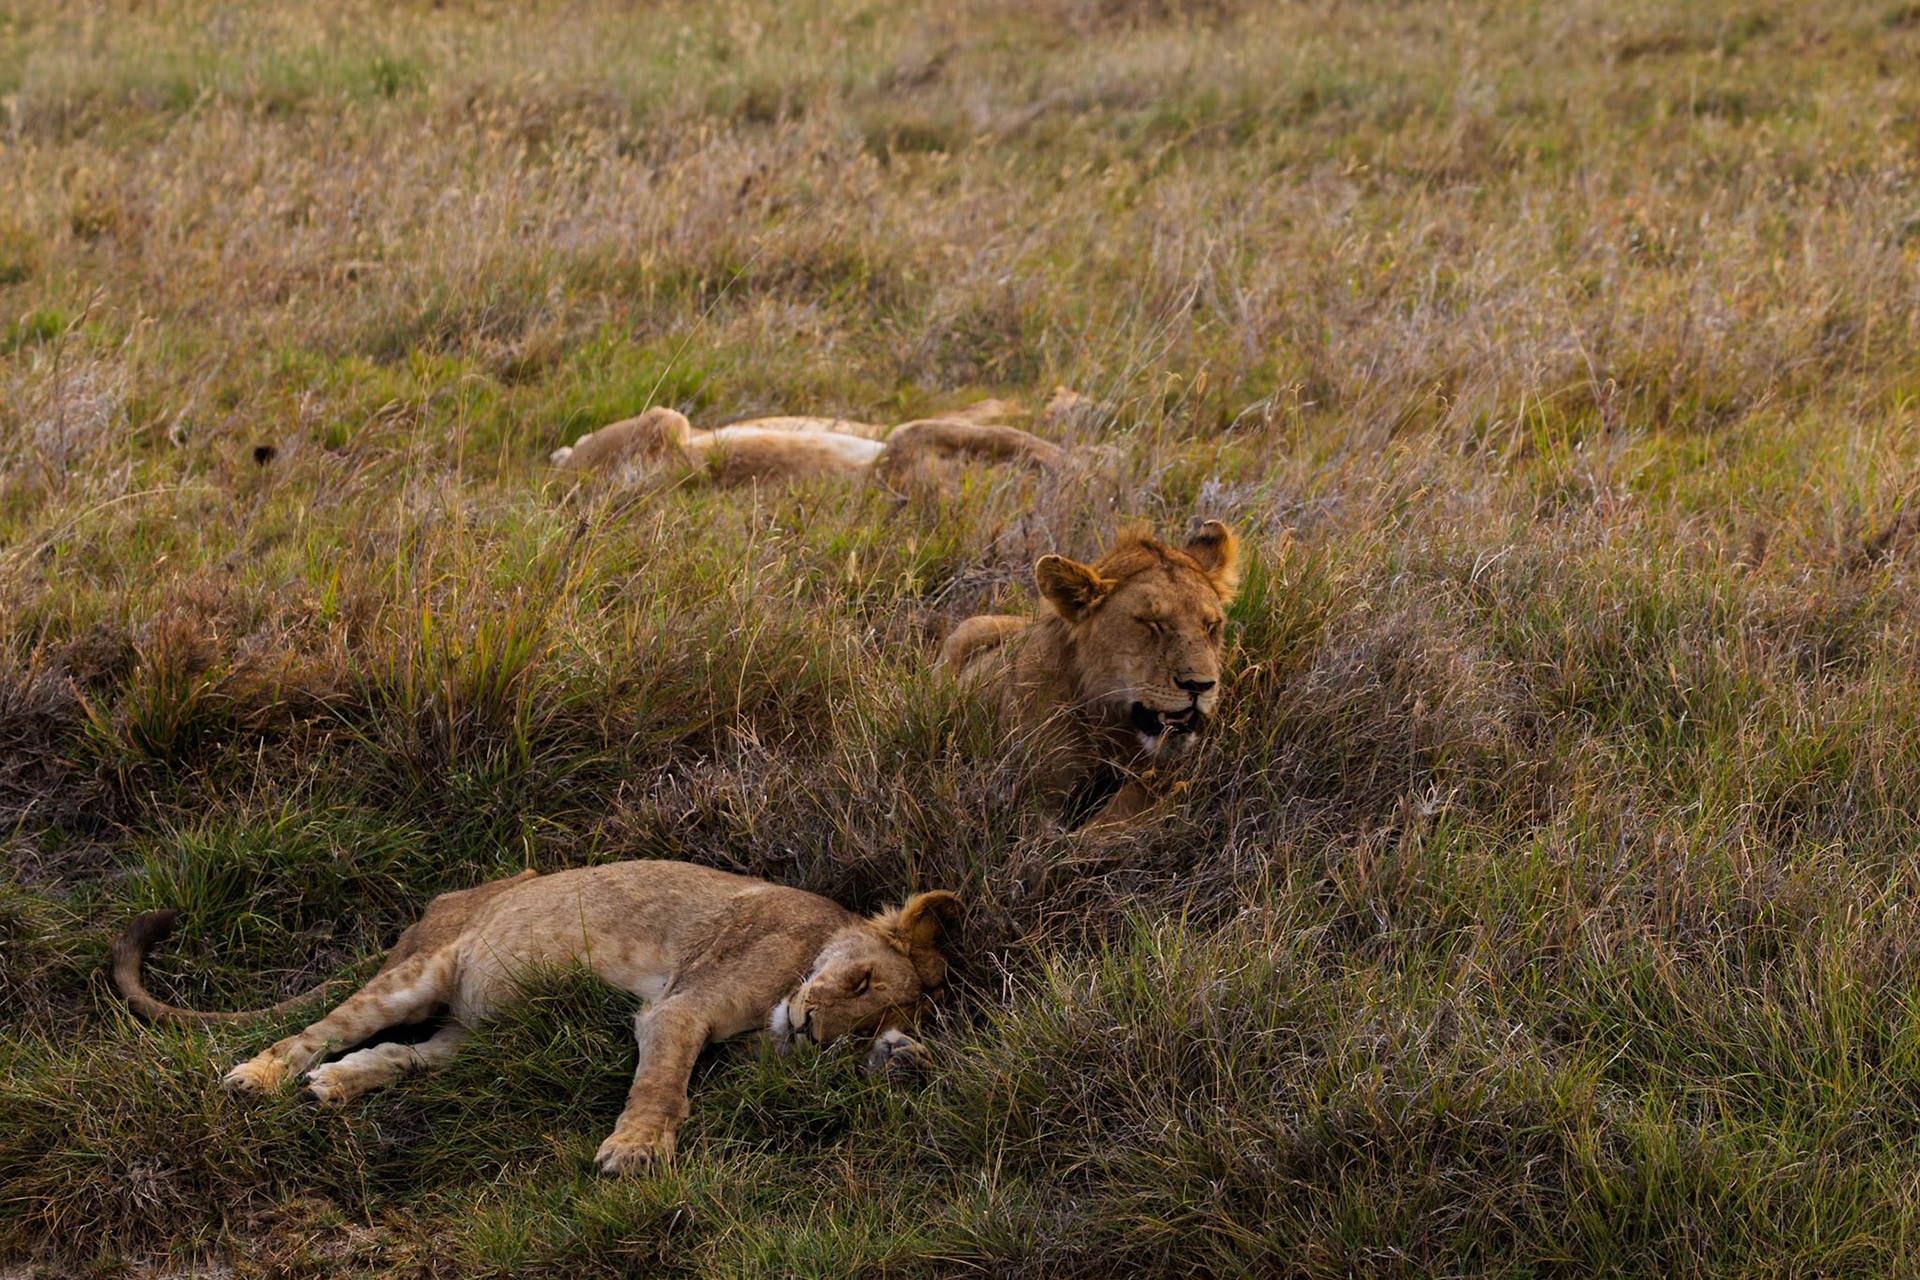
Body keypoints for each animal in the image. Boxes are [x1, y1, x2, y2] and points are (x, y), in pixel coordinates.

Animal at [111, 860, 962, 1174]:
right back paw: (258, 1078)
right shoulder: (680, 1007)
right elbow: (663, 1086)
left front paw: (903, 1058)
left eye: (859, 1024)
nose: (815, 1030)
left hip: (472, 1040)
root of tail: (436, 905)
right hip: (417, 974)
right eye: (857, 978)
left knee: (401, 1056)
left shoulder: (753, 1052)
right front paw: (636, 1152)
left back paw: (334, 1089)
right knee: (316, 1032)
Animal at [943, 521, 1241, 832]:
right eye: (1152, 623)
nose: (1200, 685)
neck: (1111, 724)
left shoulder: (1164, 772)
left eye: (1211, 626)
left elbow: (1122, 812)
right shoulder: (1035, 792)